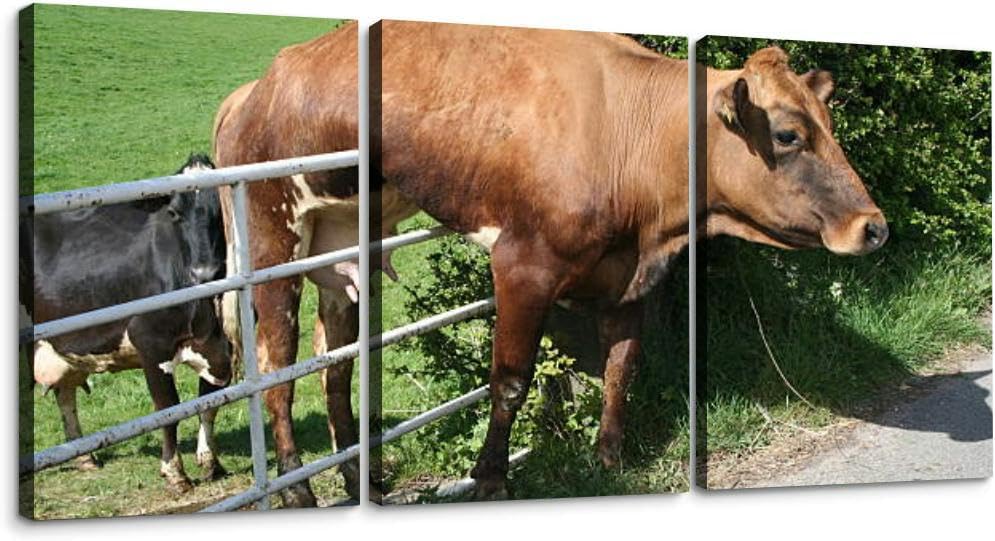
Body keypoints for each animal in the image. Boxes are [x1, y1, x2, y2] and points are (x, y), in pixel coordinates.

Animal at [21, 154, 232, 493]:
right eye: (174, 213)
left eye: (222, 208)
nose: (205, 272)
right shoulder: (150, 342)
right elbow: (169, 408)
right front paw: (175, 472)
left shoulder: (222, 347)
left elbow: (209, 401)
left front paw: (211, 462)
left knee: (64, 394)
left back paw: (84, 457)